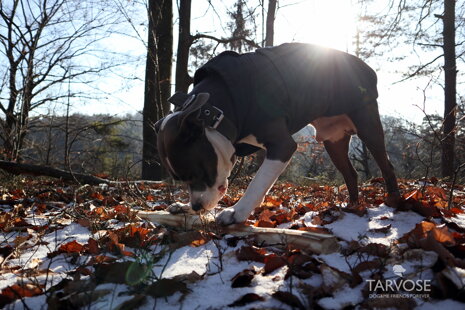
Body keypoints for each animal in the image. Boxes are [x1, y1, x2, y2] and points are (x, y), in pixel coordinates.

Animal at [155, 42, 398, 225]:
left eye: (198, 173)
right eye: (181, 179)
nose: (196, 206)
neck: (217, 111)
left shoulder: (282, 145)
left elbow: (258, 182)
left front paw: (237, 211)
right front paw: (185, 206)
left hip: (368, 126)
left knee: (386, 166)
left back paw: (395, 202)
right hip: (333, 140)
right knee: (350, 173)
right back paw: (352, 207)